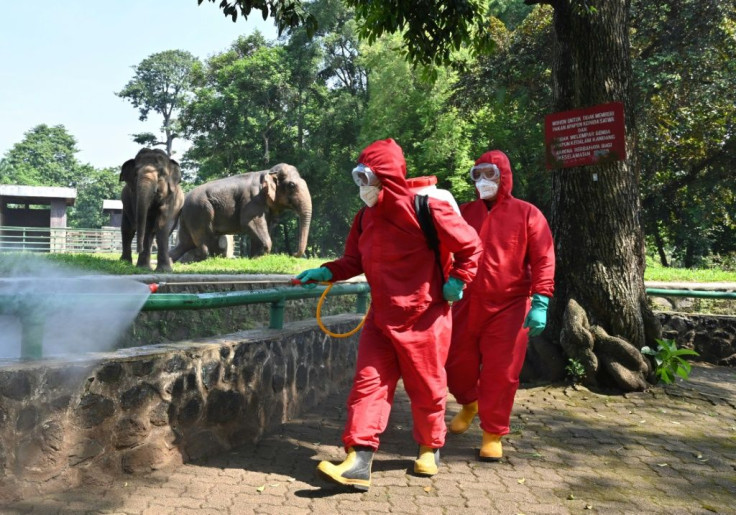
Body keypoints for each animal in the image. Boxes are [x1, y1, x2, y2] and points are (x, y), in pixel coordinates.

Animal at [171, 164, 312, 262]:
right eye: (291, 185)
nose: (293, 254)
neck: (268, 172)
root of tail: (184, 201)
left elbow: (265, 226)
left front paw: (255, 258)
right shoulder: (252, 199)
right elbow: (250, 222)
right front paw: (259, 257)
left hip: (189, 217)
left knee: (185, 243)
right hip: (199, 212)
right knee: (203, 242)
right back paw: (202, 259)